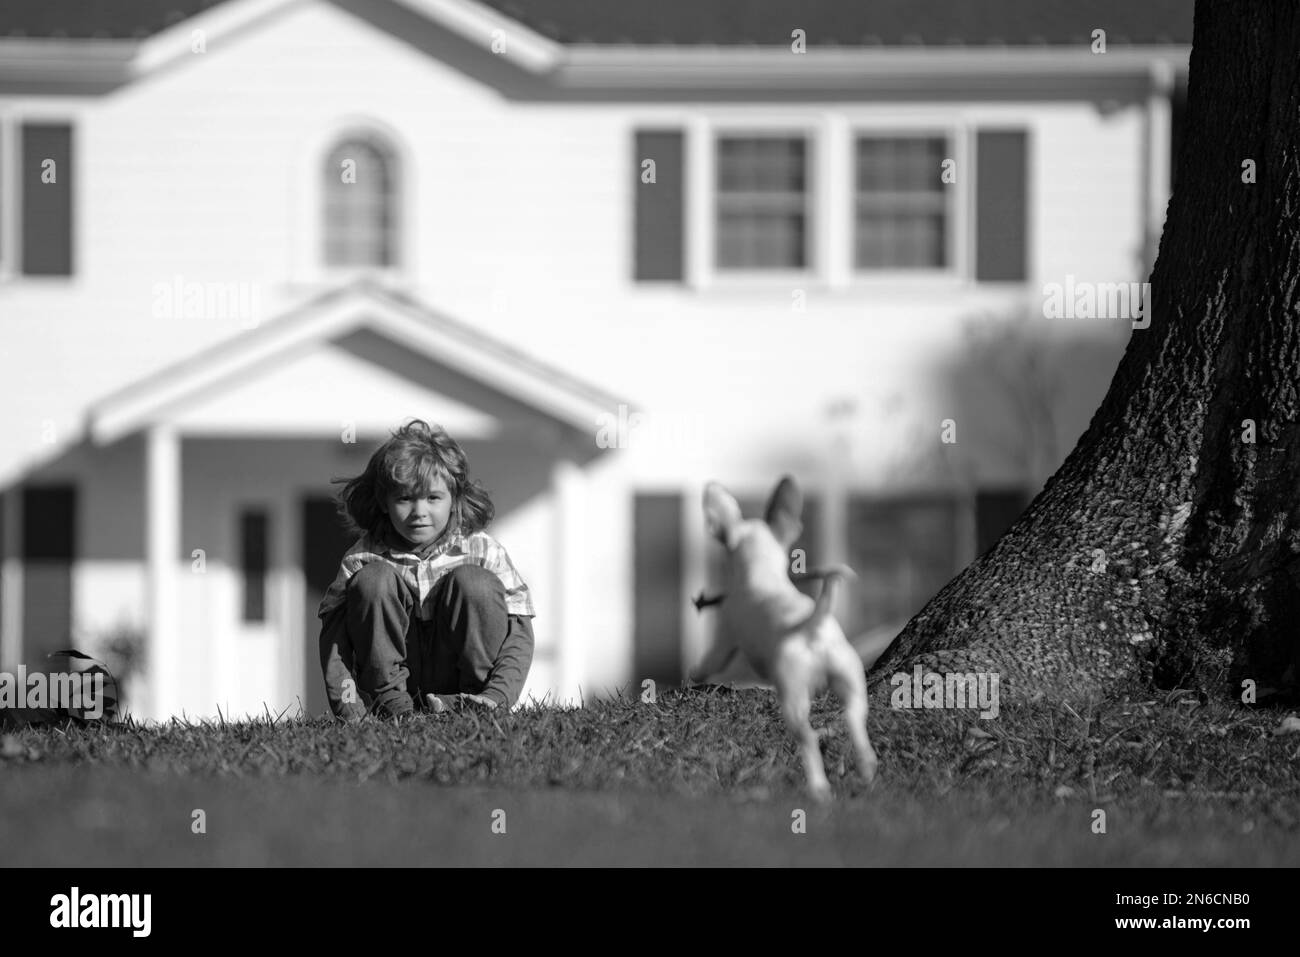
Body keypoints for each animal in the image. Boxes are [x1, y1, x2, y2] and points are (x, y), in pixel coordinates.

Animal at [691, 478, 873, 800]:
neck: (762, 574)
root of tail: (812, 627)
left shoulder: (725, 636)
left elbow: (710, 661)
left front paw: (694, 673)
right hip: (850, 678)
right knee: (855, 719)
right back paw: (866, 769)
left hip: (793, 695)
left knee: (809, 739)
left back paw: (818, 788)